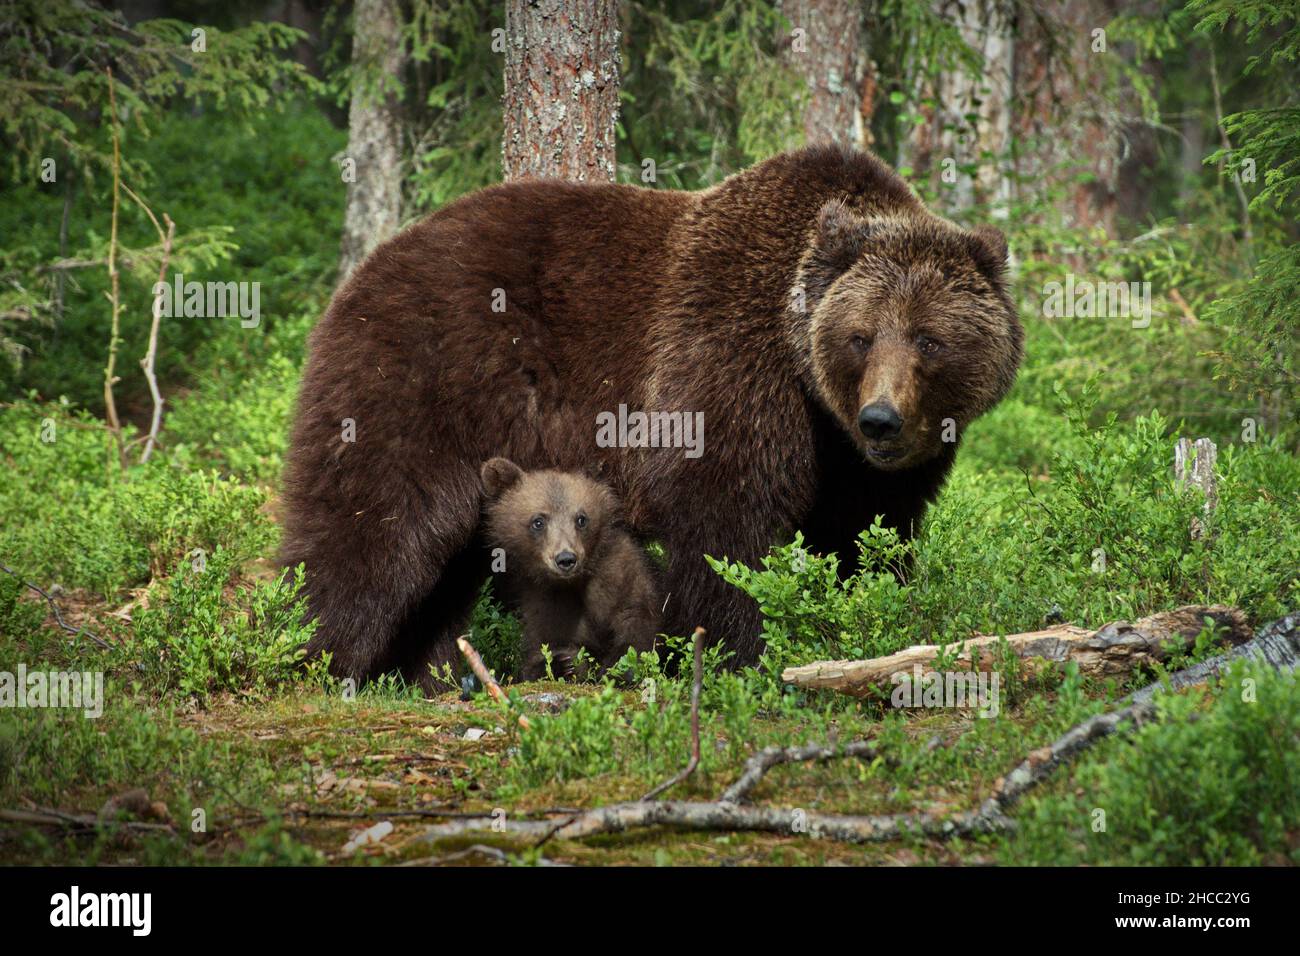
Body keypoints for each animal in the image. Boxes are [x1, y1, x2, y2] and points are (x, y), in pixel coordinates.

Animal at [479, 457, 660, 681]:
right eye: (538, 521)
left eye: (581, 518)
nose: (566, 559)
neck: (575, 581)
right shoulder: (545, 602)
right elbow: (542, 648)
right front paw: (562, 664)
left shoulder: (622, 574)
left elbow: (636, 629)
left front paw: (616, 668)